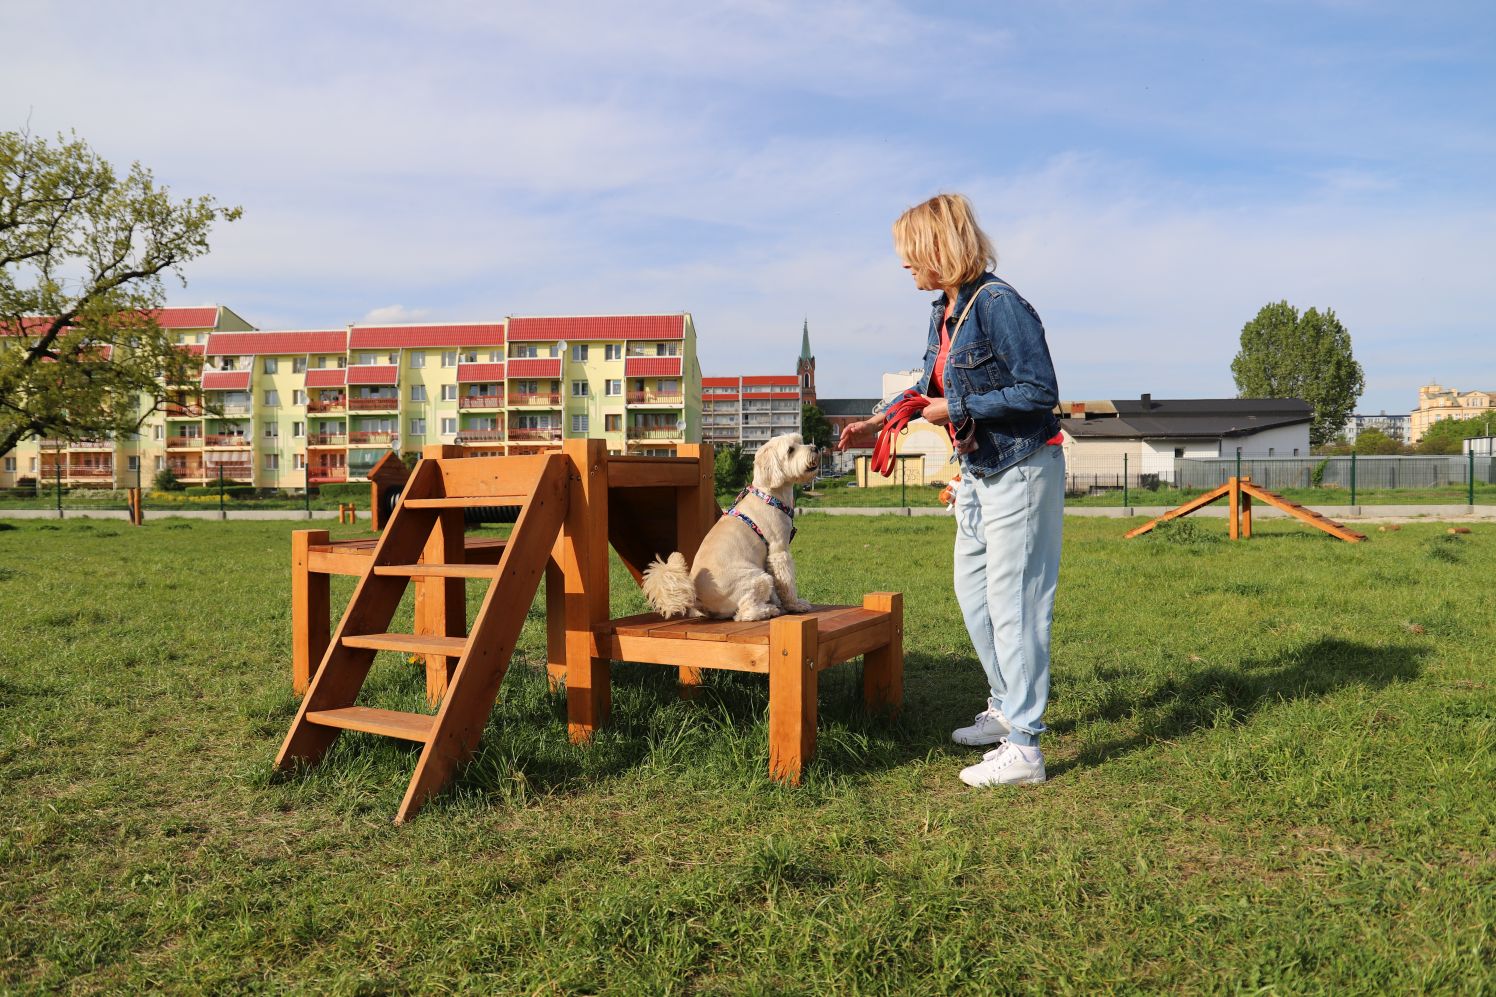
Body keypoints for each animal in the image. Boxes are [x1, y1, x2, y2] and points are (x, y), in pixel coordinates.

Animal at [643, 431, 825, 616]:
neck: (769, 495)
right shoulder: (779, 551)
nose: (815, 448)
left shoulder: (768, 560)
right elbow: (786, 582)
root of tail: (697, 599)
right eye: (790, 450)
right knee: (744, 611)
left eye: (801, 441)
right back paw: (768, 610)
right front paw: (795, 605)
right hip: (758, 578)